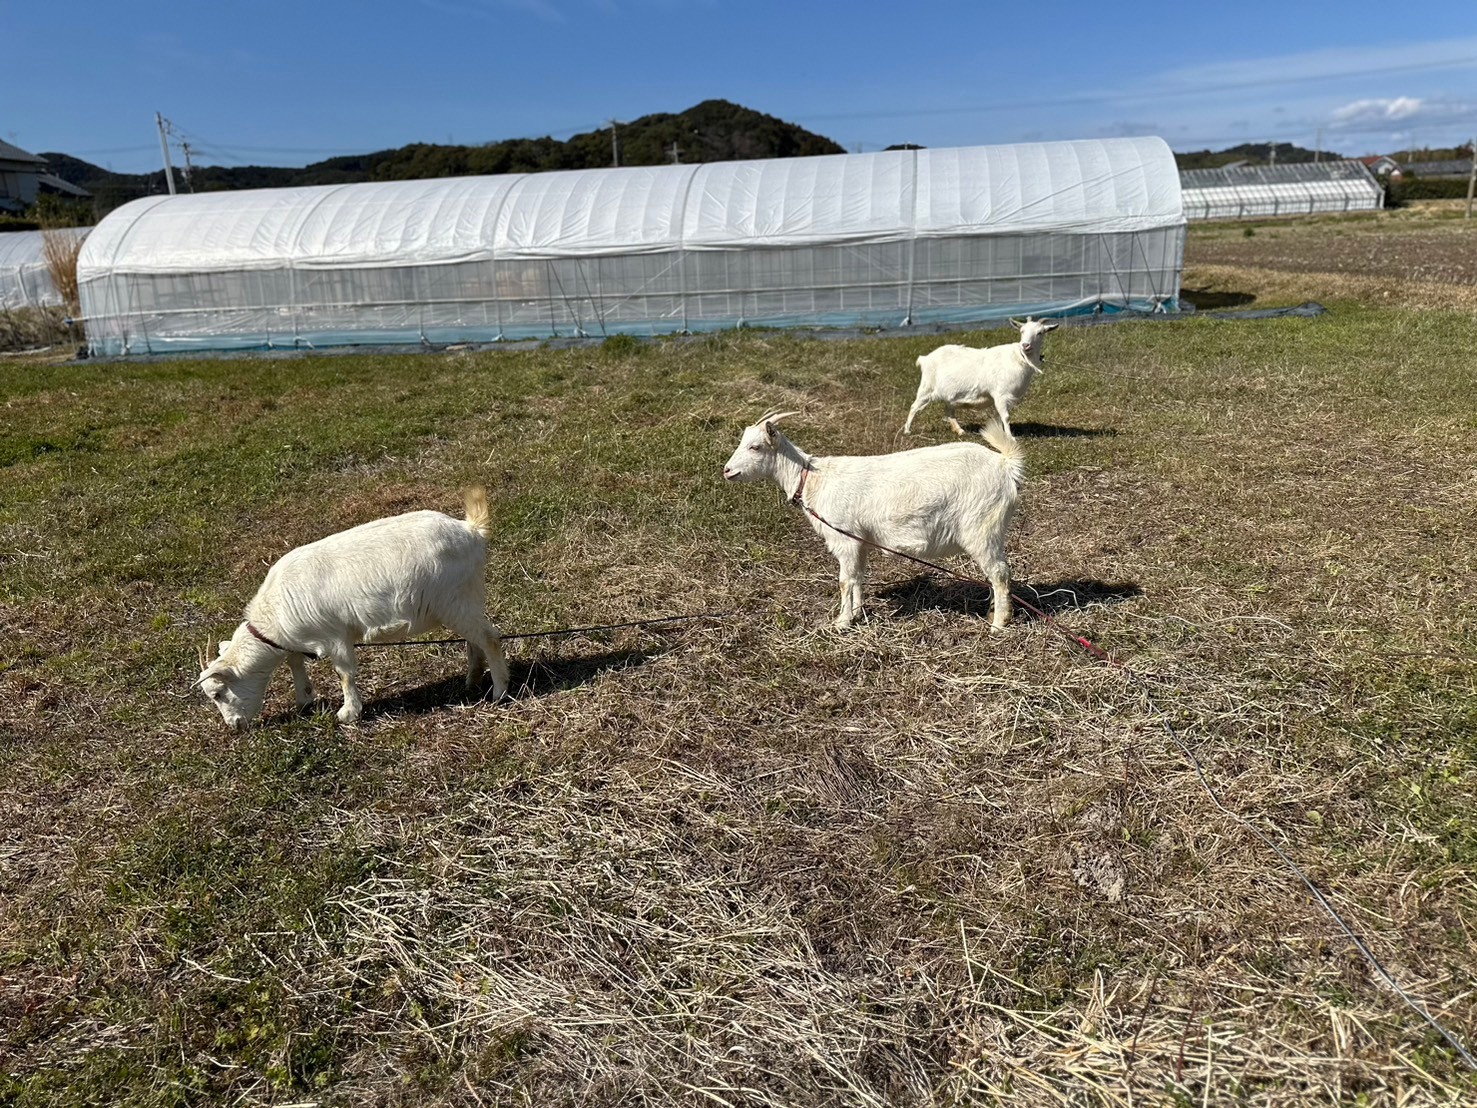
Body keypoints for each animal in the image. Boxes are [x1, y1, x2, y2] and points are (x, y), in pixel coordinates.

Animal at [196, 490, 511, 732]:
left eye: (218, 693)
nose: (234, 726)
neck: (274, 617)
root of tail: (470, 530)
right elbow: (295, 661)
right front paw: (304, 699)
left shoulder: (335, 635)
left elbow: (344, 673)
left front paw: (348, 713)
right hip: (463, 600)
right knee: (474, 639)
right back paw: (472, 681)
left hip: (454, 599)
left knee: (489, 637)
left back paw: (499, 691)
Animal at [720, 413, 1022, 632]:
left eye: (755, 447)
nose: (727, 470)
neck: (812, 480)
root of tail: (1005, 465)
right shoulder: (859, 542)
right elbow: (858, 578)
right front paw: (855, 613)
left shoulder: (844, 538)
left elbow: (845, 581)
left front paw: (841, 623)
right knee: (996, 573)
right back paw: (993, 610)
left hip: (981, 526)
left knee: (999, 573)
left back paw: (998, 624)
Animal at [898, 316, 1063, 437]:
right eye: (1022, 331)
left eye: (1040, 333)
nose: (1025, 345)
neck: (1018, 357)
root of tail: (925, 358)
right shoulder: (1000, 394)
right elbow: (1006, 416)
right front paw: (1011, 438)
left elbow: (1002, 417)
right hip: (926, 388)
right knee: (914, 407)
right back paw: (907, 431)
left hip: (950, 394)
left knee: (949, 412)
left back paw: (960, 431)